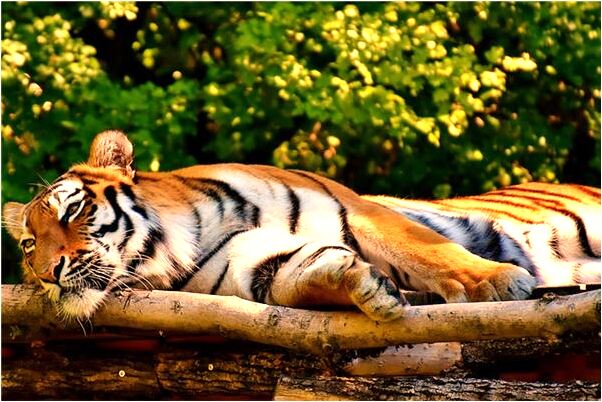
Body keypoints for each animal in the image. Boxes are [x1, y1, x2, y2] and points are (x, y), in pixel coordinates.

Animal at [2, 130, 596, 322]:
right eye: (29, 244)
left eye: (72, 212)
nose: (48, 273)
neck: (179, 243)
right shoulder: (248, 267)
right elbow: (299, 272)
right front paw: (364, 287)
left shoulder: (360, 211)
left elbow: (428, 248)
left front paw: (498, 280)